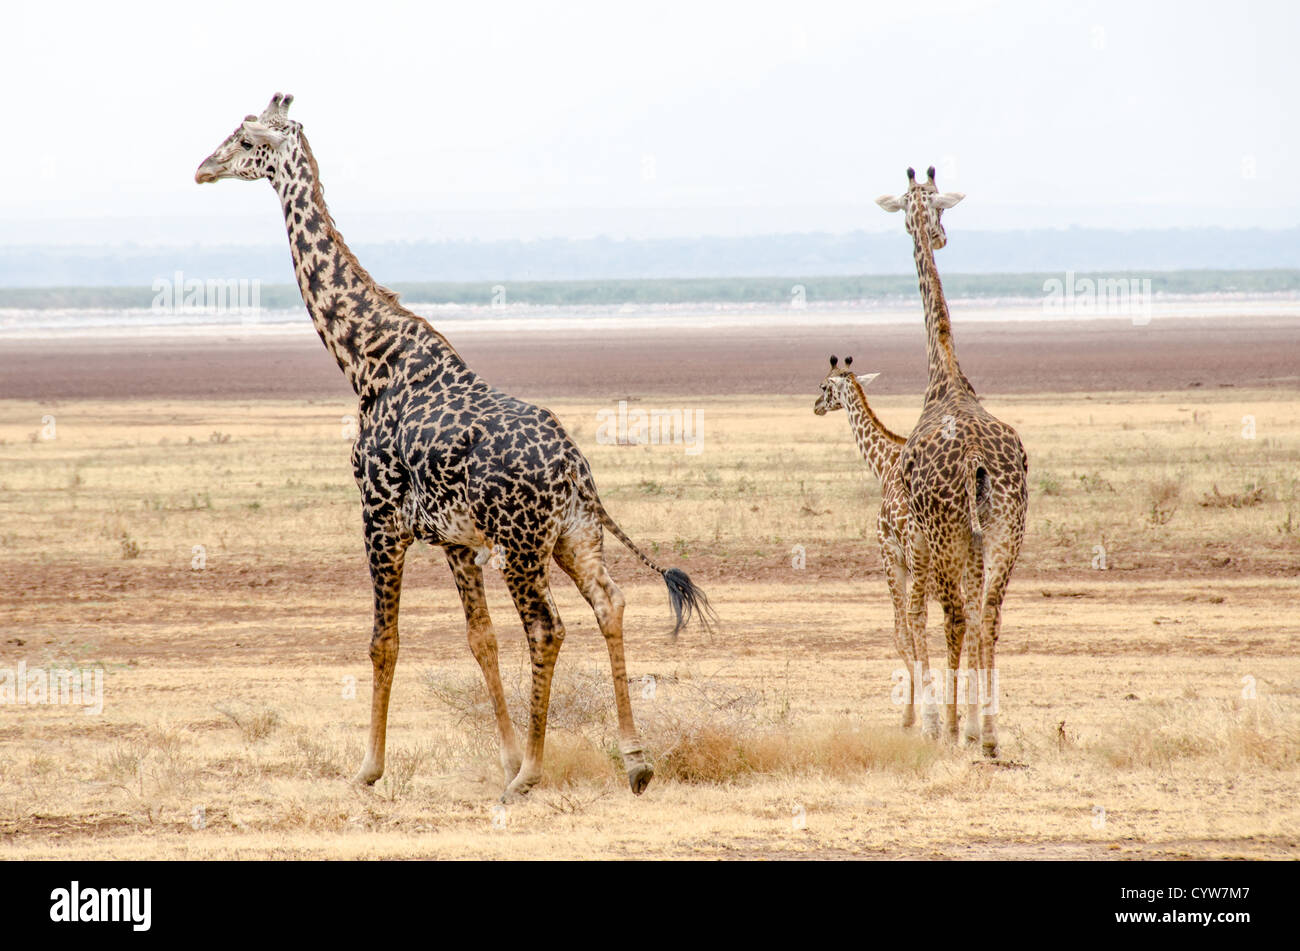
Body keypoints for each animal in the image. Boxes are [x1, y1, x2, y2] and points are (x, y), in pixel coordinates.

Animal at [196, 92, 717, 800]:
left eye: (246, 139)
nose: (203, 168)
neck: (369, 362)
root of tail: (577, 470)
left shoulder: (380, 521)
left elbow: (383, 642)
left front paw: (370, 767)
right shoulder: (455, 540)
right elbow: (480, 639)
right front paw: (502, 752)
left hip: (522, 545)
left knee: (547, 627)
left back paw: (530, 775)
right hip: (574, 535)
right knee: (609, 602)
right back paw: (633, 761)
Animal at [806, 355, 930, 727]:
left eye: (823, 385)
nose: (816, 406)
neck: (884, 463)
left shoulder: (890, 553)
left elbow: (901, 633)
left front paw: (909, 716)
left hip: (920, 558)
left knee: (915, 622)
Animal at [873, 164, 1024, 758]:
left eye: (935, 207)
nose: (938, 237)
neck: (945, 376)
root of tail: (978, 459)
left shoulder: (916, 544)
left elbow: (920, 620)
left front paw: (940, 723)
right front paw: (969, 723)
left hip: (948, 536)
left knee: (956, 615)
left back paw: (959, 728)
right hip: (1005, 529)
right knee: (989, 613)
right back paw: (989, 732)